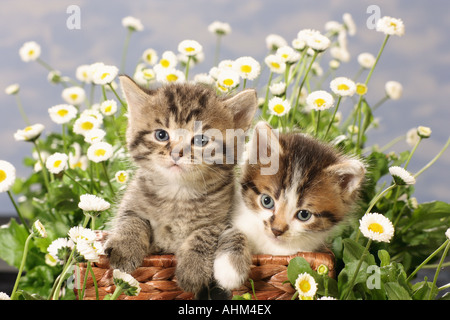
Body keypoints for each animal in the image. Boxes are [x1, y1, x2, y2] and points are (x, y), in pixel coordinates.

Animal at [103, 76, 255, 298]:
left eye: (201, 140)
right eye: (161, 135)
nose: (176, 153)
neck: (177, 193)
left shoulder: (223, 219)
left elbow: (204, 234)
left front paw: (192, 269)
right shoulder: (133, 199)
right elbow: (131, 219)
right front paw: (125, 248)